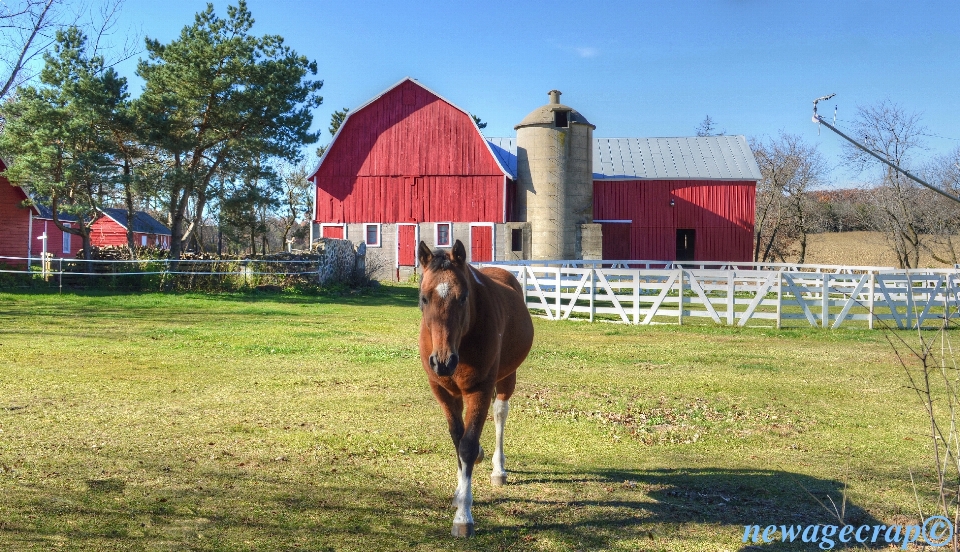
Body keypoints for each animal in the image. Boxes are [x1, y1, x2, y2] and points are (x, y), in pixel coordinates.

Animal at [418, 239, 536, 536]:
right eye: (424, 298)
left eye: (463, 297)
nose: (443, 362)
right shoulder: (444, 393)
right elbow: (457, 440)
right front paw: (459, 494)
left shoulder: (479, 390)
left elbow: (468, 446)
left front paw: (463, 517)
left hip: (507, 378)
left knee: (500, 414)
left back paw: (498, 470)